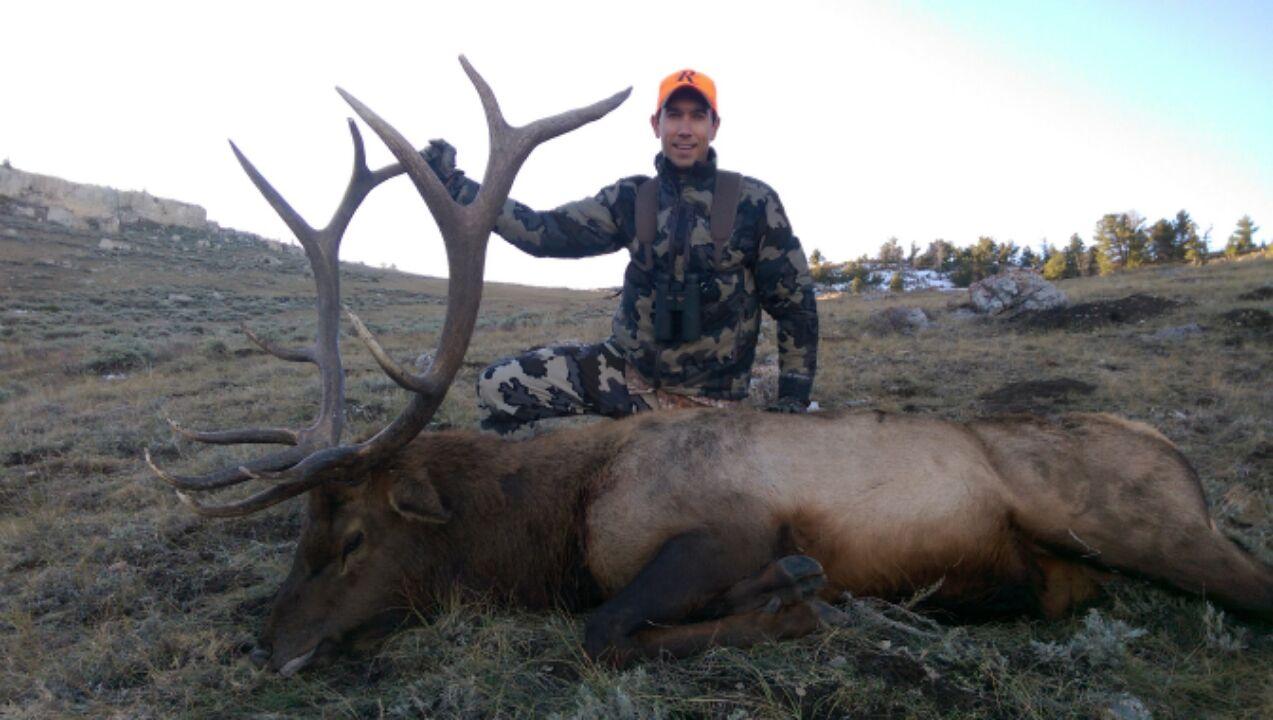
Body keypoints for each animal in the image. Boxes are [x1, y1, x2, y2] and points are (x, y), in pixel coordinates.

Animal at [145, 57, 1273, 676]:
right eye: (300, 533)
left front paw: (800, 601)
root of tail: (1182, 463)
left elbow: (602, 629)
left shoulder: (718, 524)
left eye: (352, 537)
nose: (270, 644)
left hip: (1135, 521)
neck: (556, 524)